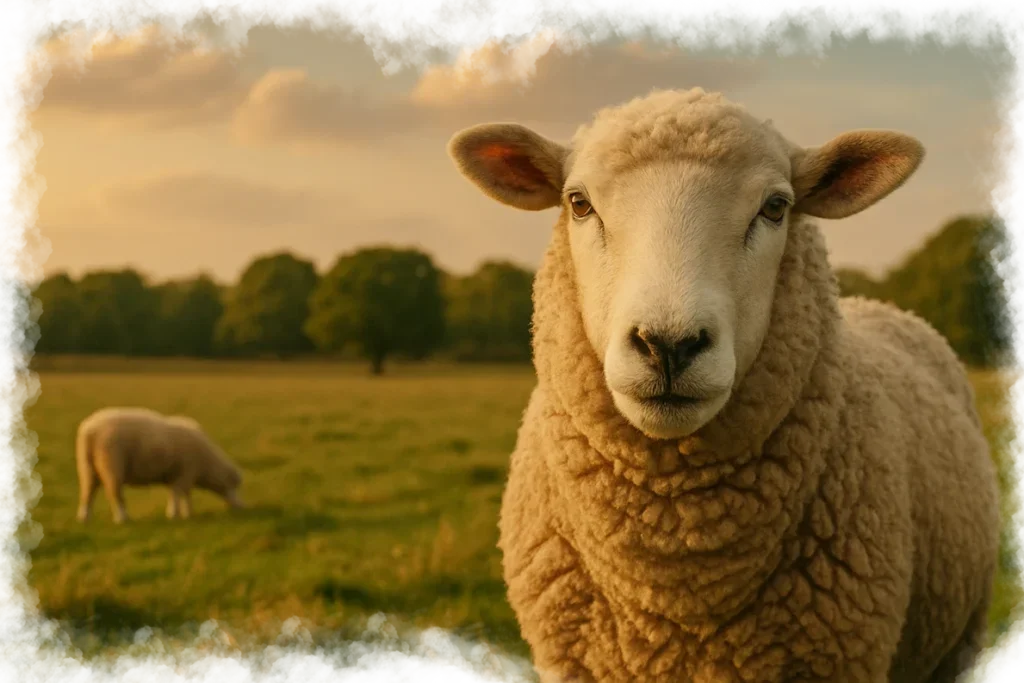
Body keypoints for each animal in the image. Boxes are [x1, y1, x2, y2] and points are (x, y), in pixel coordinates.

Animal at [76, 406, 245, 524]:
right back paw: (123, 518)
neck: (206, 464)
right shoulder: (185, 473)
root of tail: (90, 431)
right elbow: (183, 494)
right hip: (111, 464)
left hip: (87, 467)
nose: (241, 507)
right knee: (114, 493)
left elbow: (175, 494)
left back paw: (84, 518)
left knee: (87, 493)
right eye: (234, 485)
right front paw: (185, 513)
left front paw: (175, 513)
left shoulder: (176, 475)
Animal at [447, 88, 1001, 683]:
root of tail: (884, 305)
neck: (679, 567)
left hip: (957, 643)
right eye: (578, 202)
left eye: (776, 207)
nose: (668, 345)